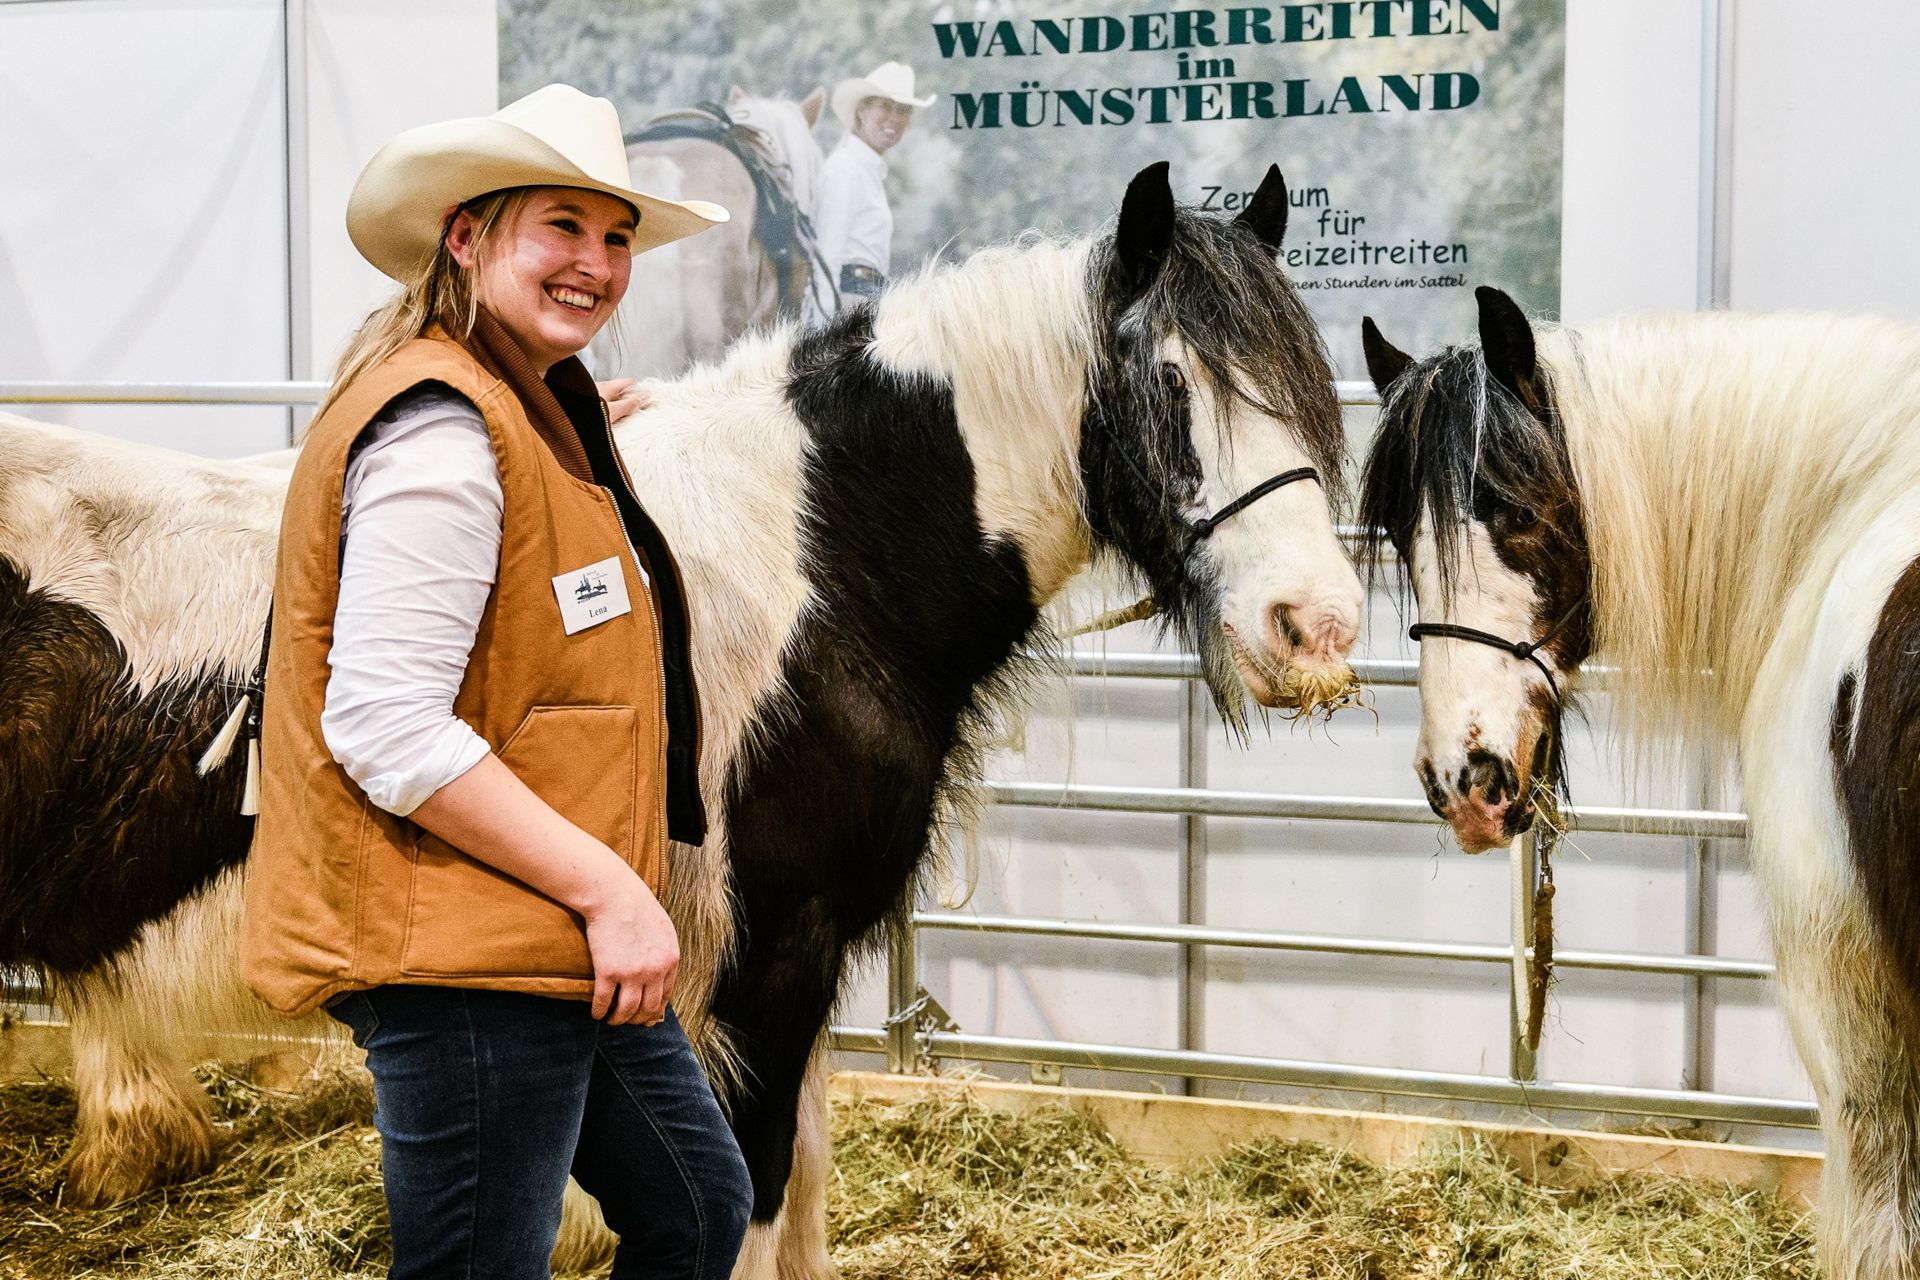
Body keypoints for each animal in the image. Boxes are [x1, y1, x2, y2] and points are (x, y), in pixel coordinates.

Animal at [2, 161, 1361, 1278]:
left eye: (1312, 390)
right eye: (1171, 379)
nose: (1319, 628)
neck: (814, 551)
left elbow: (800, 1187)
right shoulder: (767, 966)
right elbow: (755, 1199)